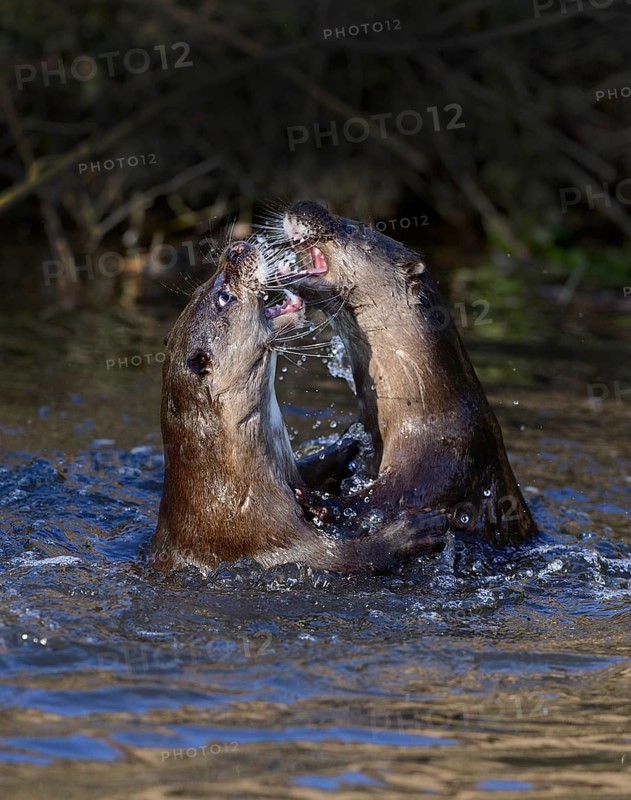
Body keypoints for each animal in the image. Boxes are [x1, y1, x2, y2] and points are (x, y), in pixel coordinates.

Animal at [149, 240, 447, 573]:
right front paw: (413, 532)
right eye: (224, 297)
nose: (236, 248)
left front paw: (348, 445)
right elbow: (355, 558)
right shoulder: (280, 544)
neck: (234, 495)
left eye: (201, 288)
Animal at [274, 201, 536, 546]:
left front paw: (319, 502)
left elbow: (384, 502)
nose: (303, 205)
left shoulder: (445, 462)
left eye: (353, 228)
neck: (425, 408)